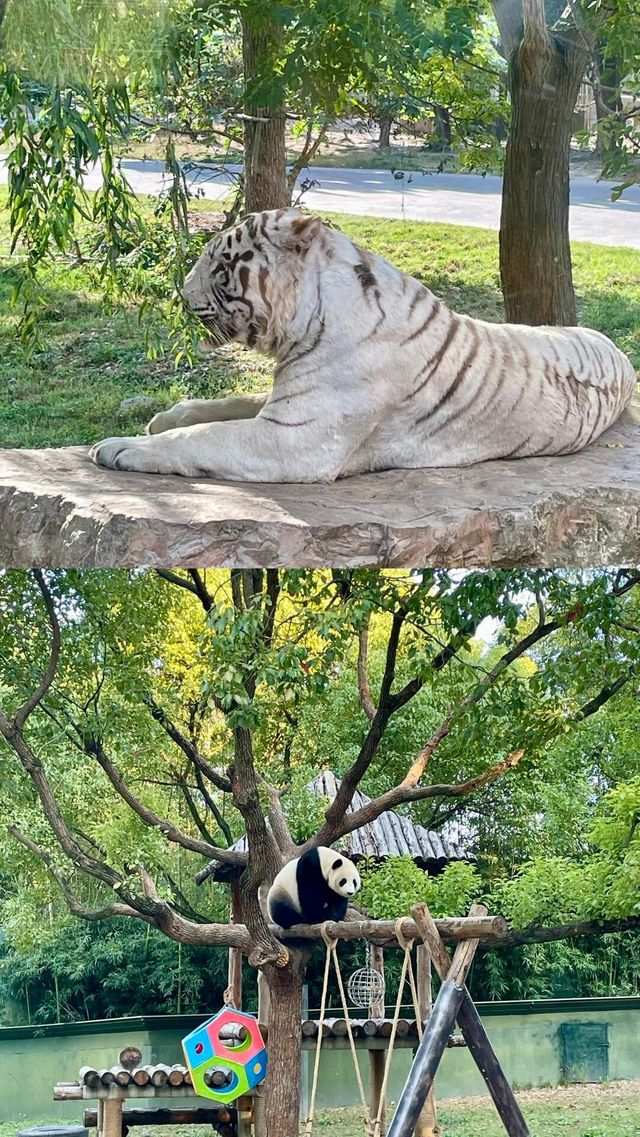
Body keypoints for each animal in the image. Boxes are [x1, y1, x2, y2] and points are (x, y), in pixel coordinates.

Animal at [88, 211, 636, 482]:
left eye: (219, 263)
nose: (181, 294)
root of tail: (615, 347)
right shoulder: (285, 402)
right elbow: (222, 405)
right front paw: (165, 415)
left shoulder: (295, 438)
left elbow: (201, 438)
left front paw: (120, 447)